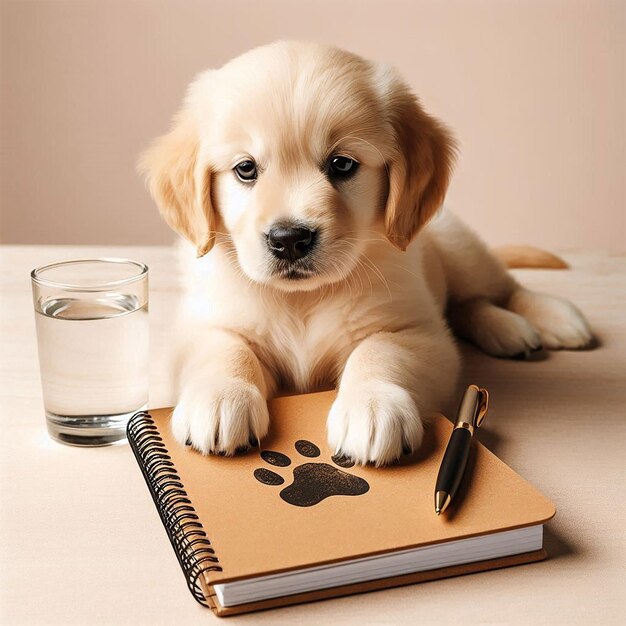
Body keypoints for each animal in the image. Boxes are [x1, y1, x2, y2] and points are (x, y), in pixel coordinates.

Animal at [139, 39, 592, 464]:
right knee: (467, 304)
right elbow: (225, 349)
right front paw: (220, 397)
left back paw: (548, 318)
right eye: (245, 169)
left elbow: (379, 351)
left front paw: (371, 406)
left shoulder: (415, 329)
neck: (303, 300)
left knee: (500, 288)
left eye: (342, 165)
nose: (289, 239)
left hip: (459, 246)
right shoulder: (202, 322)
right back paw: (509, 330)